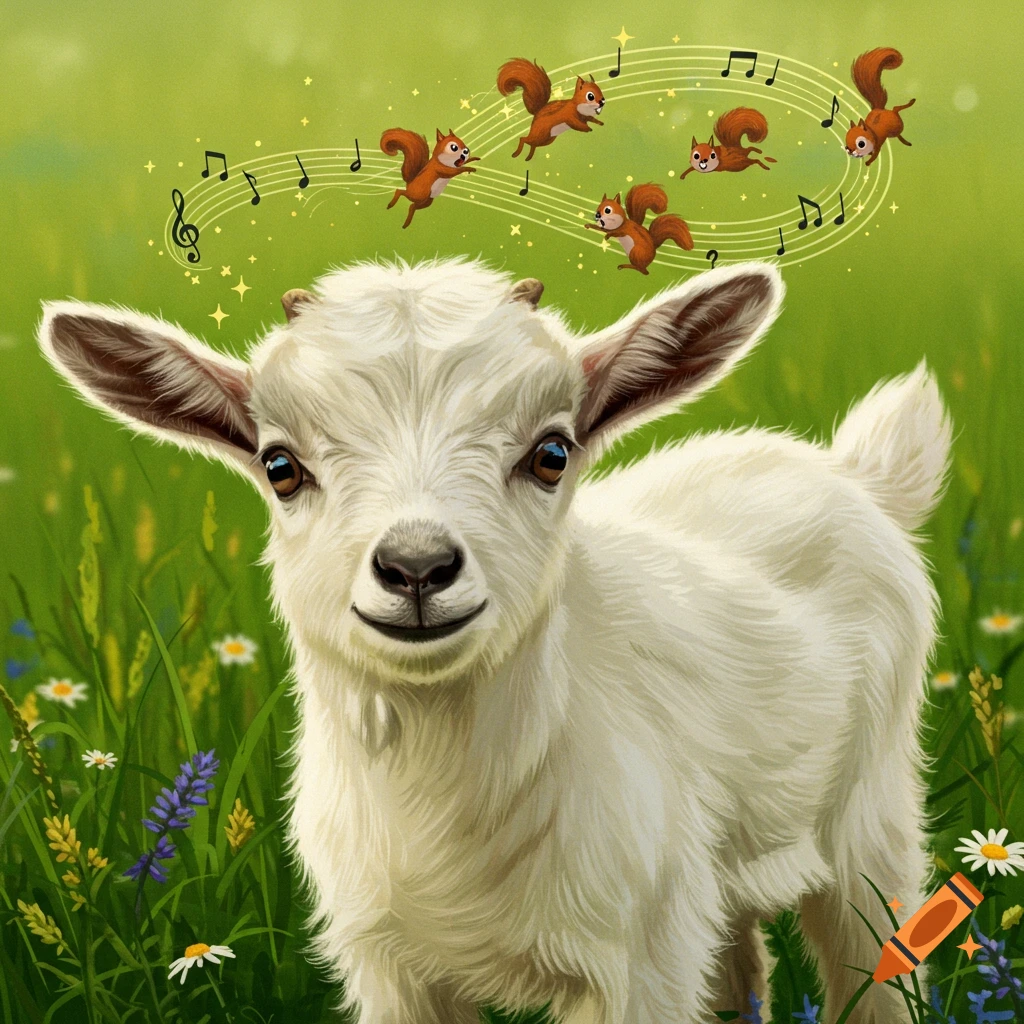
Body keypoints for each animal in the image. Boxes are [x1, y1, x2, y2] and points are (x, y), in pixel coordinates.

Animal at [39, 259, 950, 1023]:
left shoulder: (634, 963)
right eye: (280, 466)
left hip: (869, 826)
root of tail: (855, 473)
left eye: (551, 452)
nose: (416, 567)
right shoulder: (392, 966)